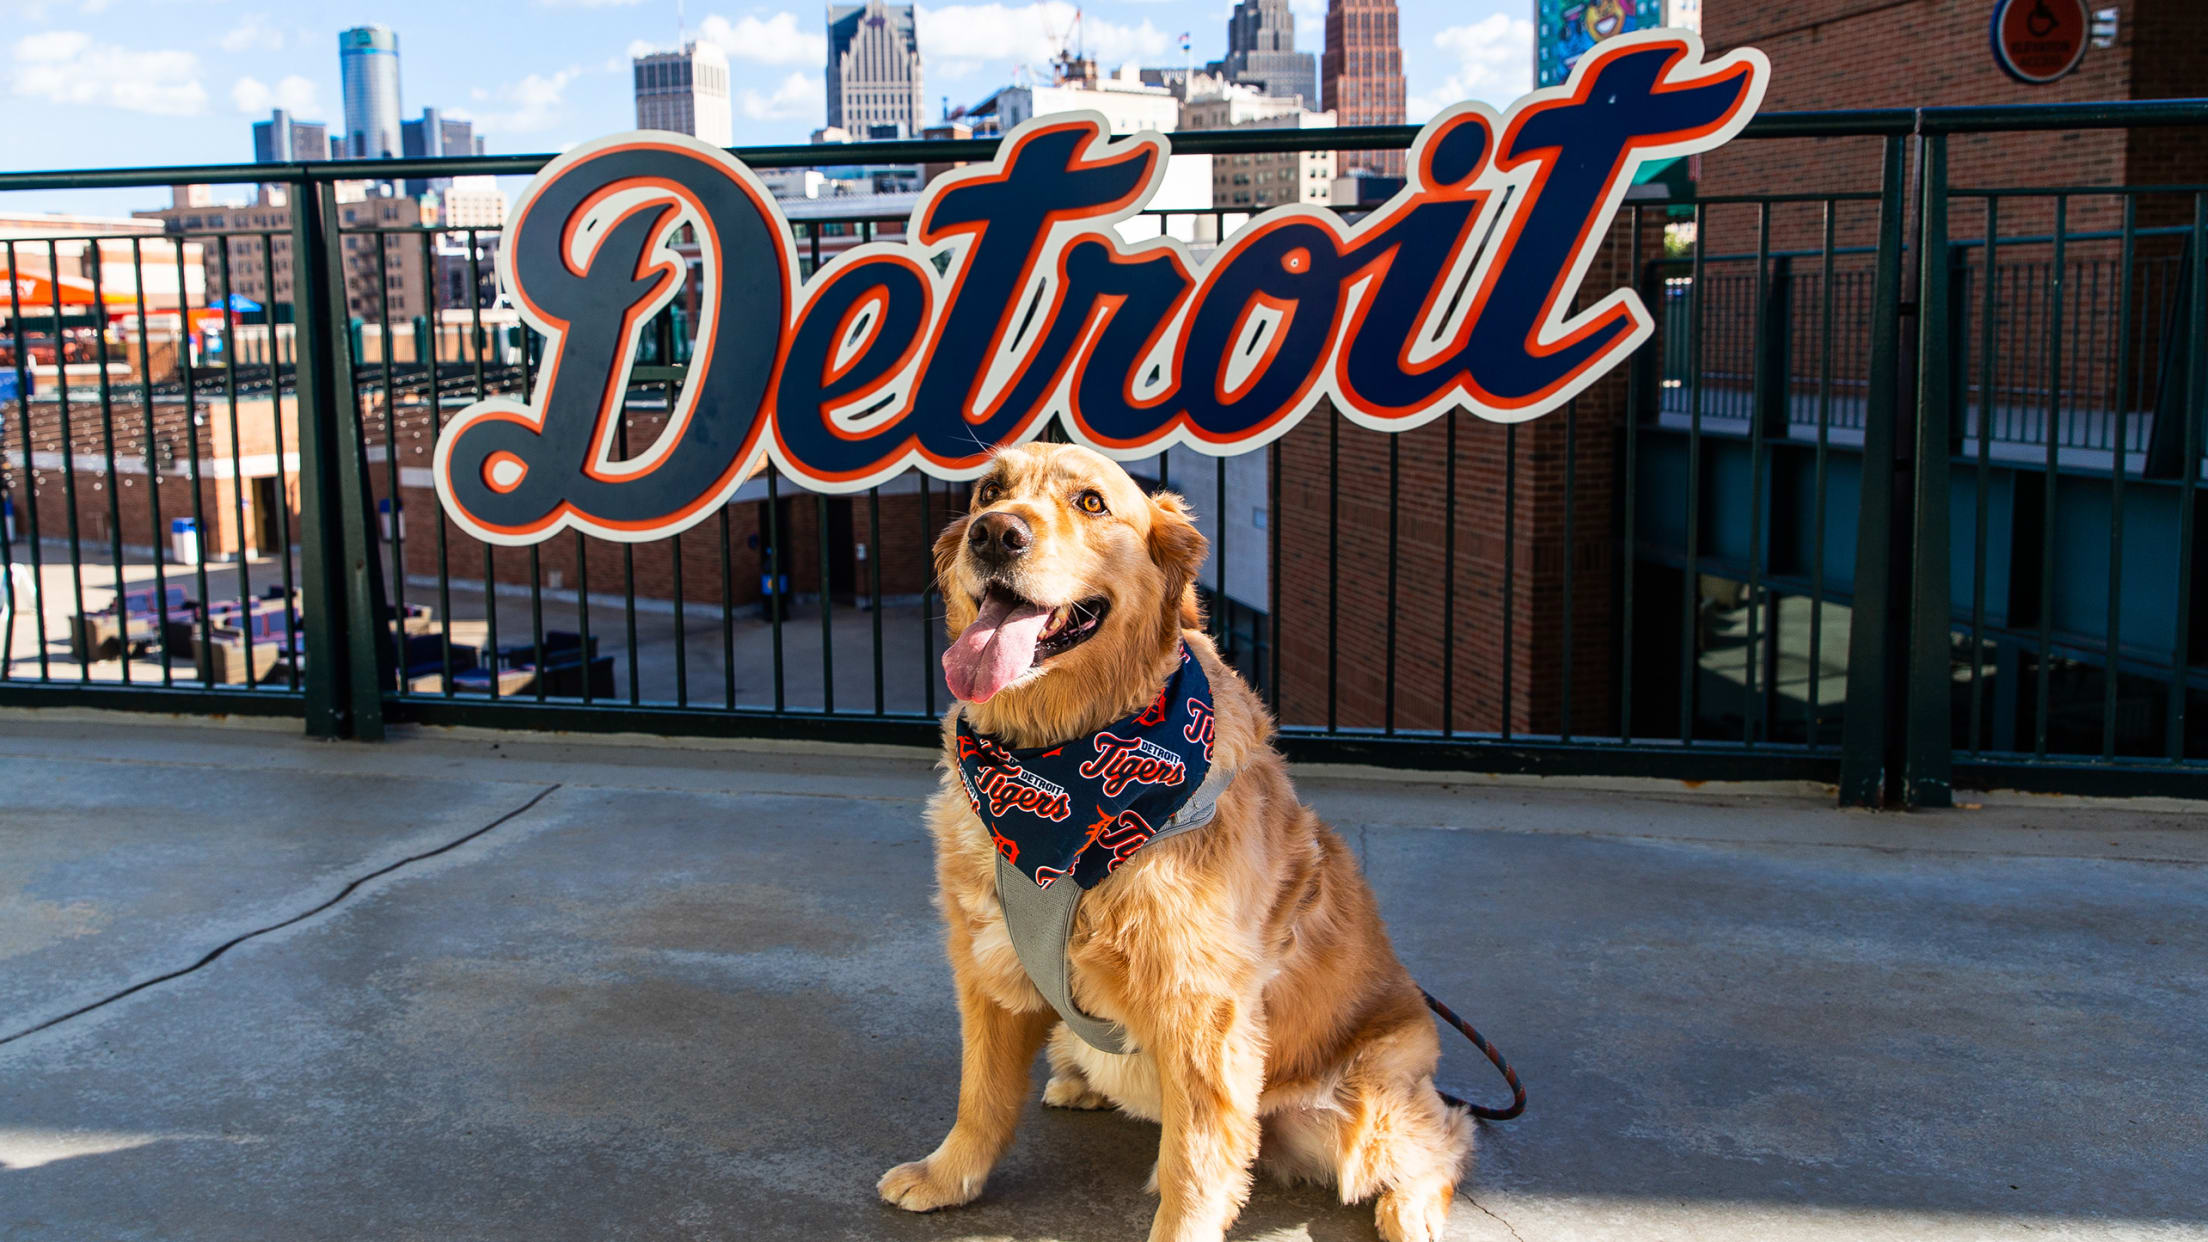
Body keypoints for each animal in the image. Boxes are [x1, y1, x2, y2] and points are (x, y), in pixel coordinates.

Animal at [874, 439, 1466, 1228]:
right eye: (988, 492)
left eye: (1091, 502)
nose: (995, 534)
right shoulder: (986, 961)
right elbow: (982, 1096)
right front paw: (948, 1176)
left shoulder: (1201, 1007)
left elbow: (1194, 1161)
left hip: (1365, 1105)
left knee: (1443, 1141)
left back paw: (1415, 1214)